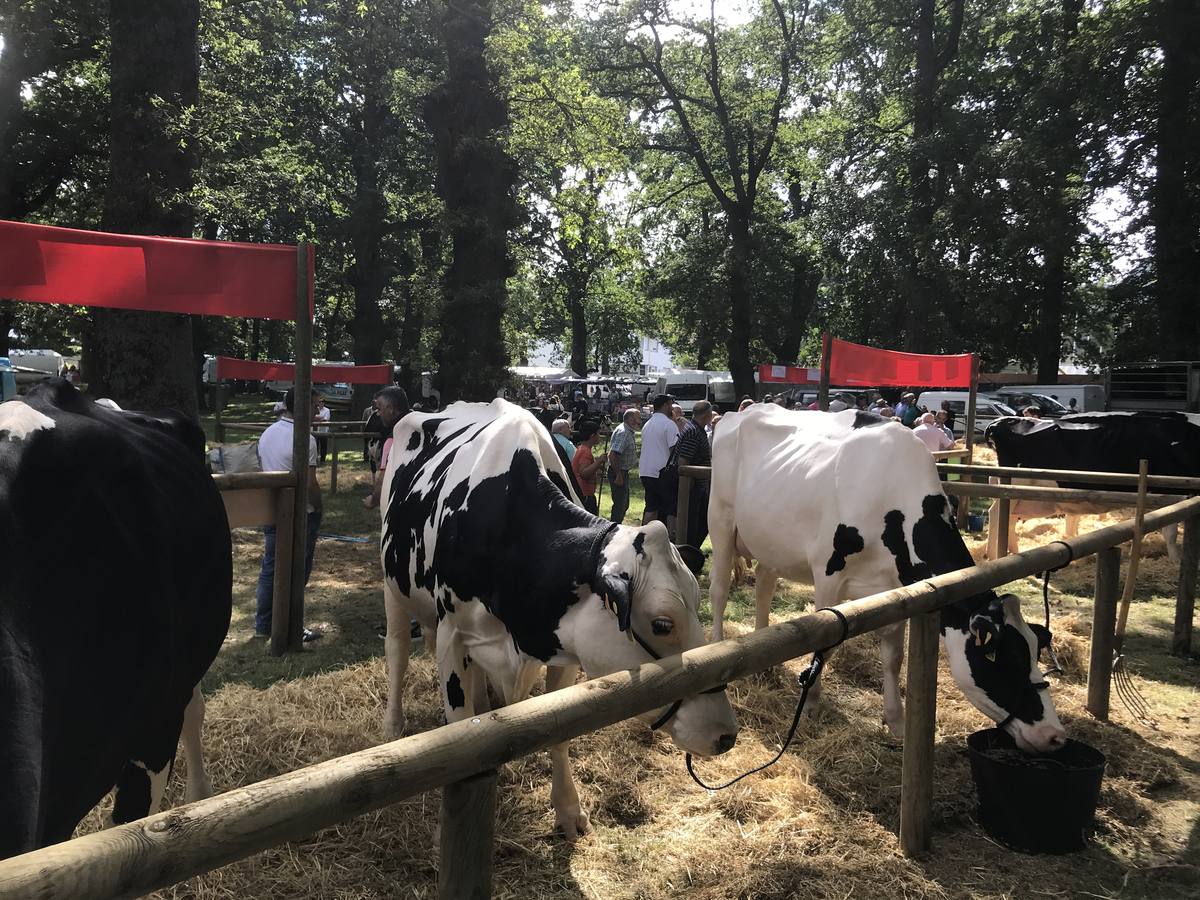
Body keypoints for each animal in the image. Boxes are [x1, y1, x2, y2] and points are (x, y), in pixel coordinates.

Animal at [379, 400, 734, 840]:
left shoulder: (566, 647)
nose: (726, 734)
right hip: (392, 585)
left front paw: (568, 811)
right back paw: (392, 725)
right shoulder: (451, 635)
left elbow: (560, 732)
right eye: (662, 624)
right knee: (397, 650)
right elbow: (457, 730)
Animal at [705, 408, 1065, 753]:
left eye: (1035, 651)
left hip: (770, 542)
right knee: (719, 591)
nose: (1053, 735)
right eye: (1005, 658)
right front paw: (810, 705)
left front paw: (896, 721)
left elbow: (894, 658)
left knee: (764, 587)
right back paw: (719, 651)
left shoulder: (898, 589)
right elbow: (823, 647)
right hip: (721, 521)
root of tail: (740, 413)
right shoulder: (827, 573)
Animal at [984, 412, 1200, 561]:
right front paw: (1176, 561)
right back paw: (994, 556)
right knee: (996, 514)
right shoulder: (1173, 493)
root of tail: (1001, 421)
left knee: (1009, 519)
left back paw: (1014, 552)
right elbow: (1170, 534)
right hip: (1014, 488)